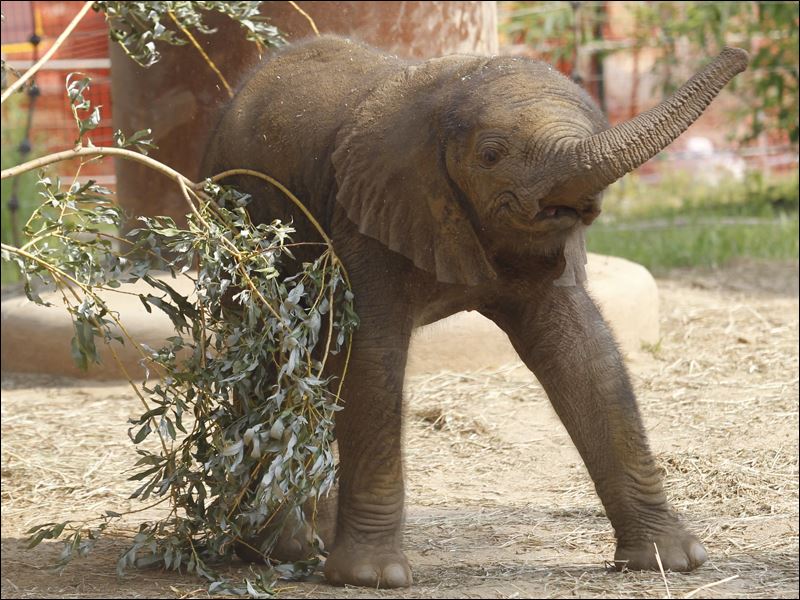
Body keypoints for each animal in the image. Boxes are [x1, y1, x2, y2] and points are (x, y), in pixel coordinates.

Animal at [202, 36, 752, 584]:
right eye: (491, 155)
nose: (741, 53)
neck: (449, 92)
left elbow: (584, 355)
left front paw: (671, 560)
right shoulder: (366, 215)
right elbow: (370, 360)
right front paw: (373, 577)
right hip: (236, 228)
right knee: (272, 359)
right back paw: (276, 549)